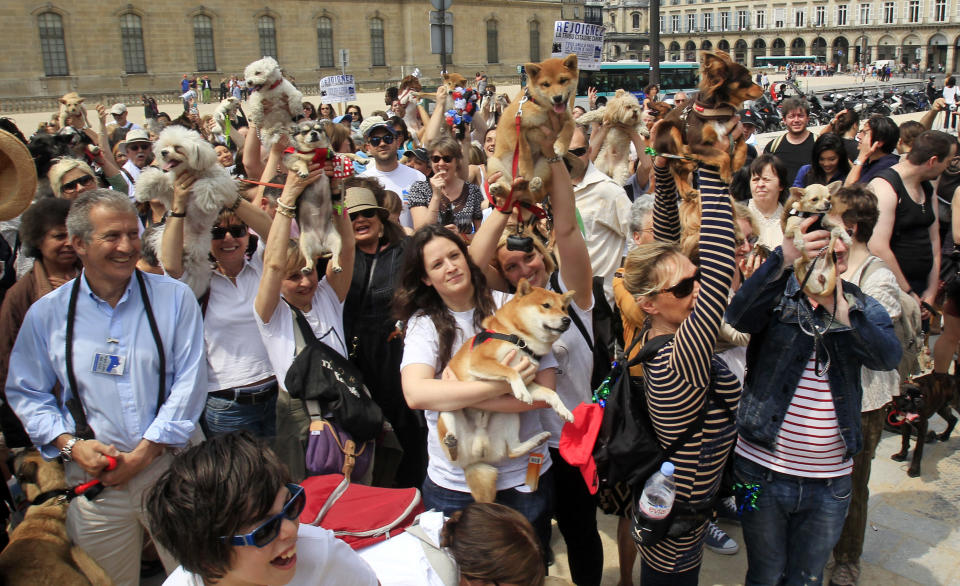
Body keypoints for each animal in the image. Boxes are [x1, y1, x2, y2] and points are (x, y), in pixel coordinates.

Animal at [136, 125, 239, 294]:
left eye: (178, 148)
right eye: (165, 146)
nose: (164, 152)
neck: (191, 171)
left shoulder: (224, 182)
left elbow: (208, 183)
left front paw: (206, 200)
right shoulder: (172, 189)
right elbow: (158, 177)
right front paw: (143, 190)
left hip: (195, 247)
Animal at [438, 280, 572, 500]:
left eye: (564, 308)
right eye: (546, 305)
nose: (567, 320)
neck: (520, 339)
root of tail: (476, 456)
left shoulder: (530, 379)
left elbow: (551, 393)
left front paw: (564, 410)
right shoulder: (480, 361)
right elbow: (510, 370)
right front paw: (520, 390)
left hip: (509, 417)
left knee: (513, 449)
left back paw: (538, 439)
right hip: (448, 412)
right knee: (452, 454)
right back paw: (451, 443)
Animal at [488, 54, 576, 205]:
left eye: (563, 80)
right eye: (546, 84)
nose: (557, 98)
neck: (543, 108)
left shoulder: (567, 117)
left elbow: (570, 128)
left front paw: (561, 146)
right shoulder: (513, 124)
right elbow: (524, 149)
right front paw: (527, 171)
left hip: (545, 165)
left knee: (535, 196)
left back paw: (534, 185)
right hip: (494, 165)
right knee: (510, 194)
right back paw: (499, 188)